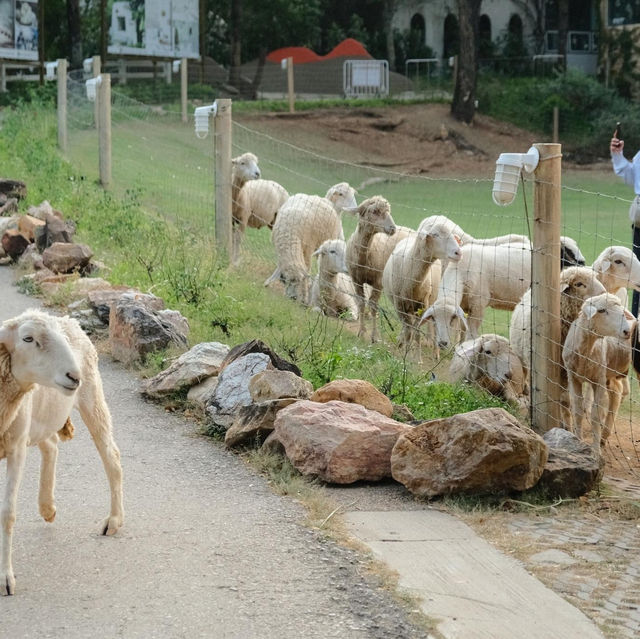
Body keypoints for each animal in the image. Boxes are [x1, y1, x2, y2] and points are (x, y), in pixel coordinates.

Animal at [0, 310, 124, 596]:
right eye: (28, 338)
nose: (73, 376)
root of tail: (68, 318)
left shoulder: (15, 448)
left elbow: (7, 513)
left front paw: (5, 578)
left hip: (91, 397)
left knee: (111, 456)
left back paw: (114, 520)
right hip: (43, 417)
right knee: (51, 445)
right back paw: (47, 507)